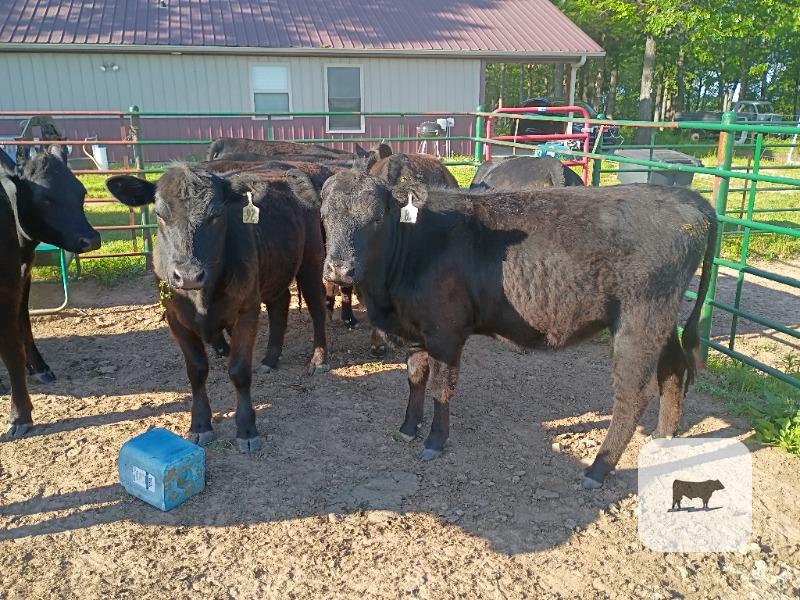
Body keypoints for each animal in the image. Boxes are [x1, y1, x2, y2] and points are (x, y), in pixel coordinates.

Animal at [1, 147, 101, 438]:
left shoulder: (22, 275)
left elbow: (23, 325)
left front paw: (40, 368)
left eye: (81, 192)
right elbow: (11, 347)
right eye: (45, 199)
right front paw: (19, 415)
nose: (91, 239)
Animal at [106, 164, 329, 452]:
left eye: (216, 215)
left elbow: (239, 370)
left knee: (317, 309)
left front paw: (246, 429)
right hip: (276, 270)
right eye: (160, 214)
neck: (202, 298)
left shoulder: (246, 311)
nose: (188, 275)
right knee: (280, 306)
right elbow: (197, 370)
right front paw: (200, 425)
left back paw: (318, 359)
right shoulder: (176, 319)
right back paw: (270, 359)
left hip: (312, 261)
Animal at [291, 166, 717, 489]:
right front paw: (408, 427)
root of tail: (686, 199)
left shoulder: (446, 334)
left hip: (639, 320)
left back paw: (598, 468)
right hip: (661, 322)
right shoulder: (416, 330)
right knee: (672, 371)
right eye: (325, 215)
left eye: (376, 217)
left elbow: (441, 387)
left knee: (633, 394)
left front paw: (434, 441)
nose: (339, 270)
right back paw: (663, 437)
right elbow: (415, 376)